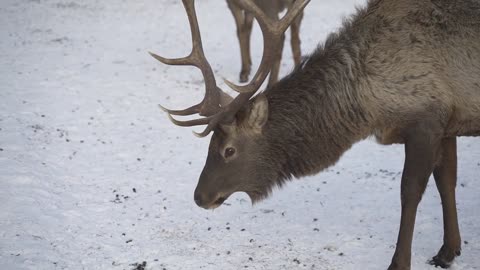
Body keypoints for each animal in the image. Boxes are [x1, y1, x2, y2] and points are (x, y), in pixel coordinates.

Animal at [152, 0, 480, 268]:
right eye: (210, 143)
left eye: (228, 150)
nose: (199, 197)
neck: (370, 105)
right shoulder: (447, 121)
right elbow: (446, 181)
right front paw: (448, 252)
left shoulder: (426, 120)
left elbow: (410, 191)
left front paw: (399, 263)